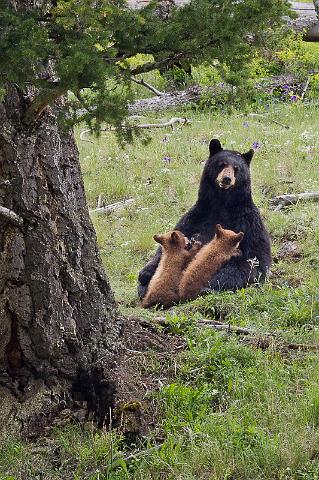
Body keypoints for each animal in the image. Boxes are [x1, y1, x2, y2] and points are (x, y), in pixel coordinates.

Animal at [138, 137, 272, 298]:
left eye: (236, 168)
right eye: (222, 164)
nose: (227, 179)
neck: (222, 203)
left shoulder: (248, 221)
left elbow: (254, 259)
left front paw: (211, 284)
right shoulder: (197, 217)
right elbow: (171, 242)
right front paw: (145, 272)